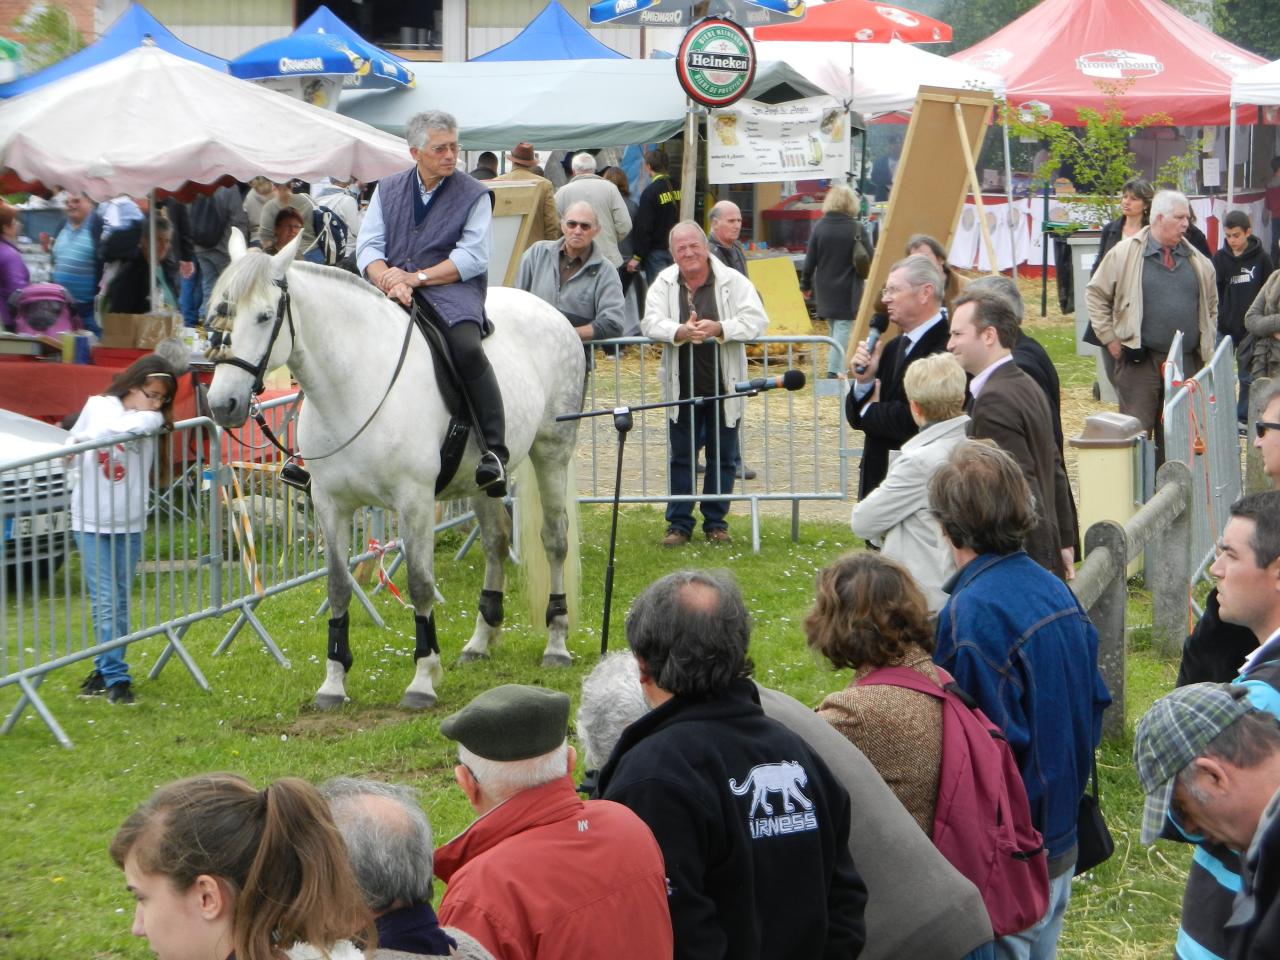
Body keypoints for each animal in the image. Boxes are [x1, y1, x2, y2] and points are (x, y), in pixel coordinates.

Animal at [206, 236, 586, 711]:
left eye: (262, 316)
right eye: (216, 315)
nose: (223, 405)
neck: (354, 386)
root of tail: (549, 310)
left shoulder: (414, 503)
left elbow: (421, 585)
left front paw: (422, 679)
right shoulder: (330, 505)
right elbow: (338, 587)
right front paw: (333, 683)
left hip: (551, 452)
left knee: (554, 540)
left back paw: (557, 643)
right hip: (480, 482)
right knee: (496, 543)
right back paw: (480, 641)